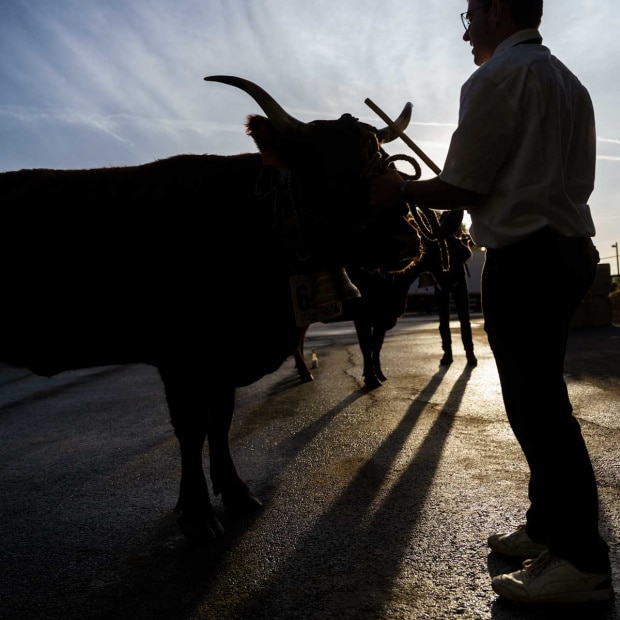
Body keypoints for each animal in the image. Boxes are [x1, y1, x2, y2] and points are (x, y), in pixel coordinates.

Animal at [0, 76, 422, 544]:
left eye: (384, 161)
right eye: (322, 166)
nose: (407, 237)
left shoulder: (223, 362)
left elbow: (220, 421)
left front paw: (235, 491)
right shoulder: (180, 358)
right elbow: (191, 428)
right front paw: (198, 513)